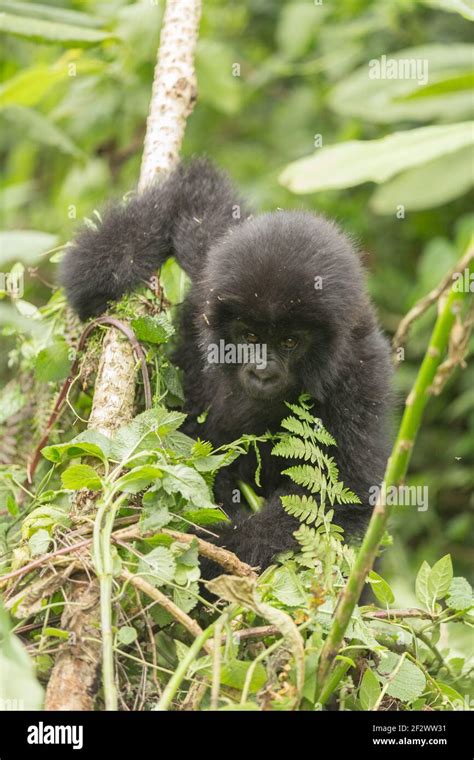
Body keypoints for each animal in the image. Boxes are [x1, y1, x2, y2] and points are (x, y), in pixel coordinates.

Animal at [63, 159, 392, 568]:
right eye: (249, 336)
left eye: (289, 342)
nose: (262, 372)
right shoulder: (214, 272)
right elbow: (193, 193)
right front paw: (115, 267)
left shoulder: (362, 376)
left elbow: (337, 498)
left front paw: (212, 544)